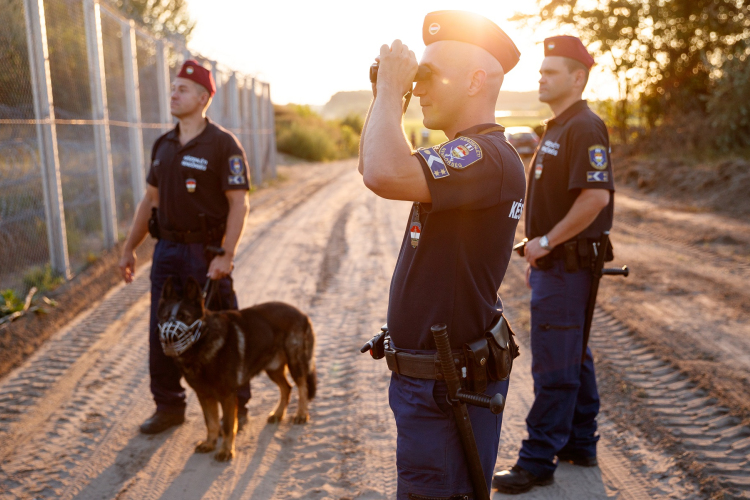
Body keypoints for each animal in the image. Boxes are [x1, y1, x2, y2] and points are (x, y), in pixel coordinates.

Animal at [159, 278, 318, 460]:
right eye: (164, 317)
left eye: (184, 317)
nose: (168, 339)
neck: (203, 342)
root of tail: (302, 314)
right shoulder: (204, 395)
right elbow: (211, 422)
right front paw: (210, 444)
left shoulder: (227, 396)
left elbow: (228, 426)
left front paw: (226, 451)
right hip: (273, 368)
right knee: (287, 388)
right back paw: (278, 414)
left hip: (295, 363)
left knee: (302, 387)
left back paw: (301, 414)